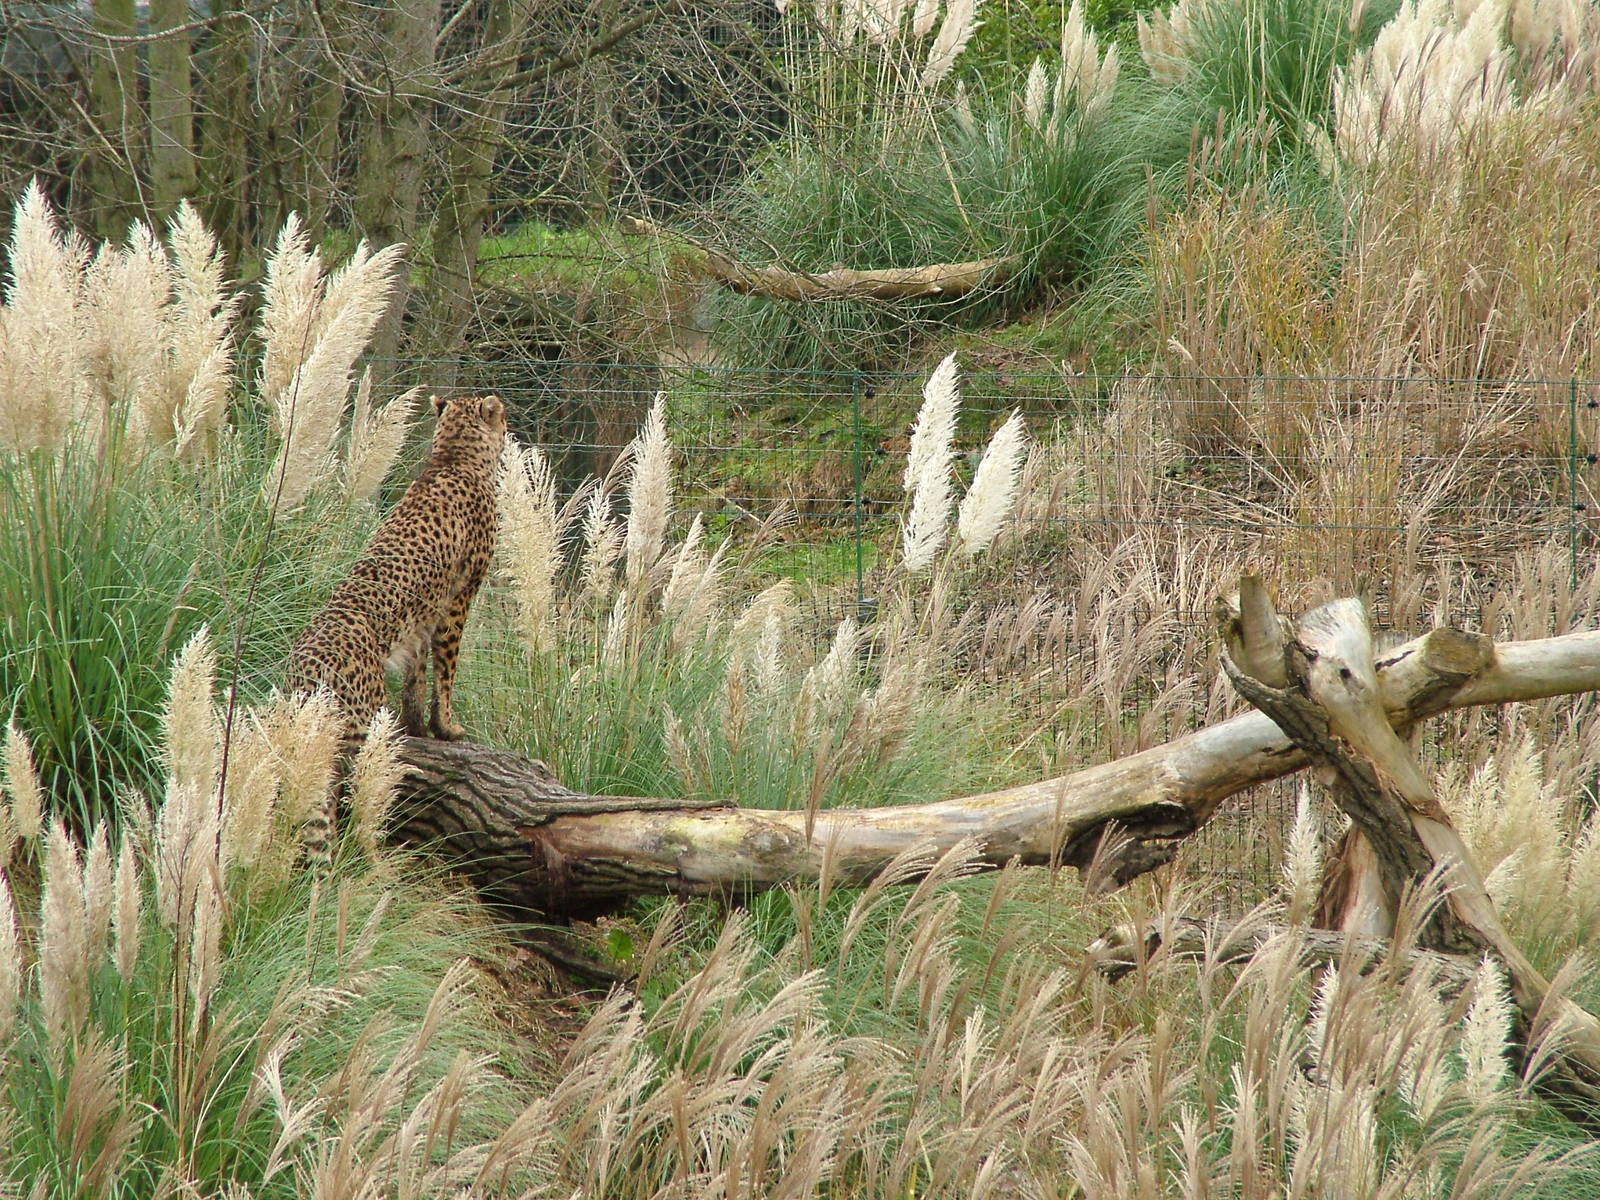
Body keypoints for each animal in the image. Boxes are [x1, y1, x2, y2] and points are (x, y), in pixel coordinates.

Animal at [287, 392, 507, 867]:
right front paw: (447, 728)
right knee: (349, 793)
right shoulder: (457, 602)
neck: (453, 456)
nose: (510, 428)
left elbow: (416, 676)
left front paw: (418, 728)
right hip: (356, 727)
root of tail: (310, 655)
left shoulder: (420, 622)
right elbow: (446, 672)